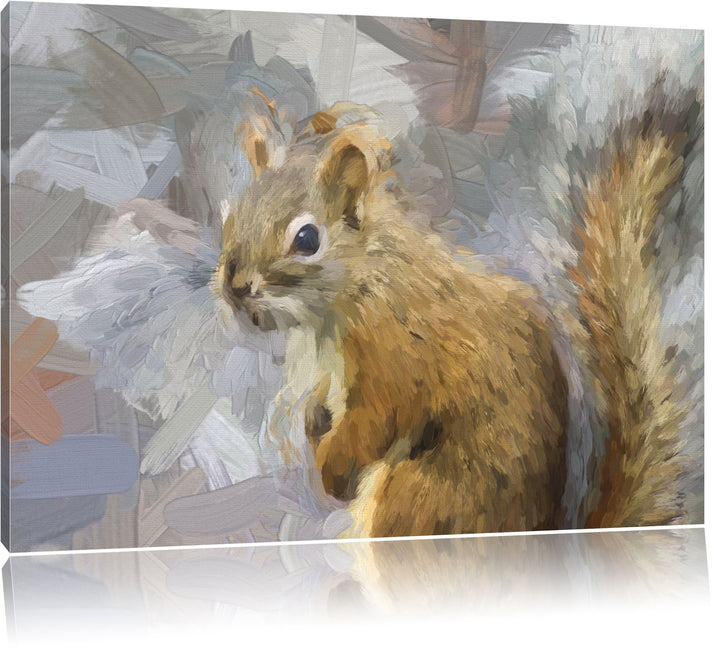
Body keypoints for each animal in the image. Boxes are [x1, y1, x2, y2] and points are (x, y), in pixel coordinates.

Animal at [215, 88, 701, 538]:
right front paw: (312, 428)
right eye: (232, 215)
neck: (361, 285)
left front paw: (331, 468)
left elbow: (376, 420)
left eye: (307, 239)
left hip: (415, 501)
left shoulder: (393, 355)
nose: (235, 287)